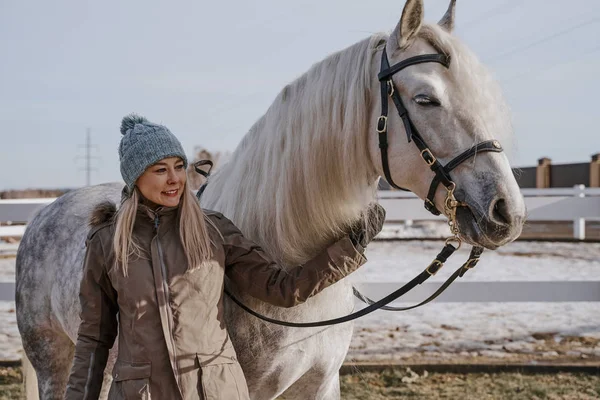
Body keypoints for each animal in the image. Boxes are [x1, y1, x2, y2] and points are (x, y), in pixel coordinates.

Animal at [15, 1, 524, 398]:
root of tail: (45, 213)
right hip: (55, 362)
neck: (285, 247)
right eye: (425, 99)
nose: (507, 212)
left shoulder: (319, 385)